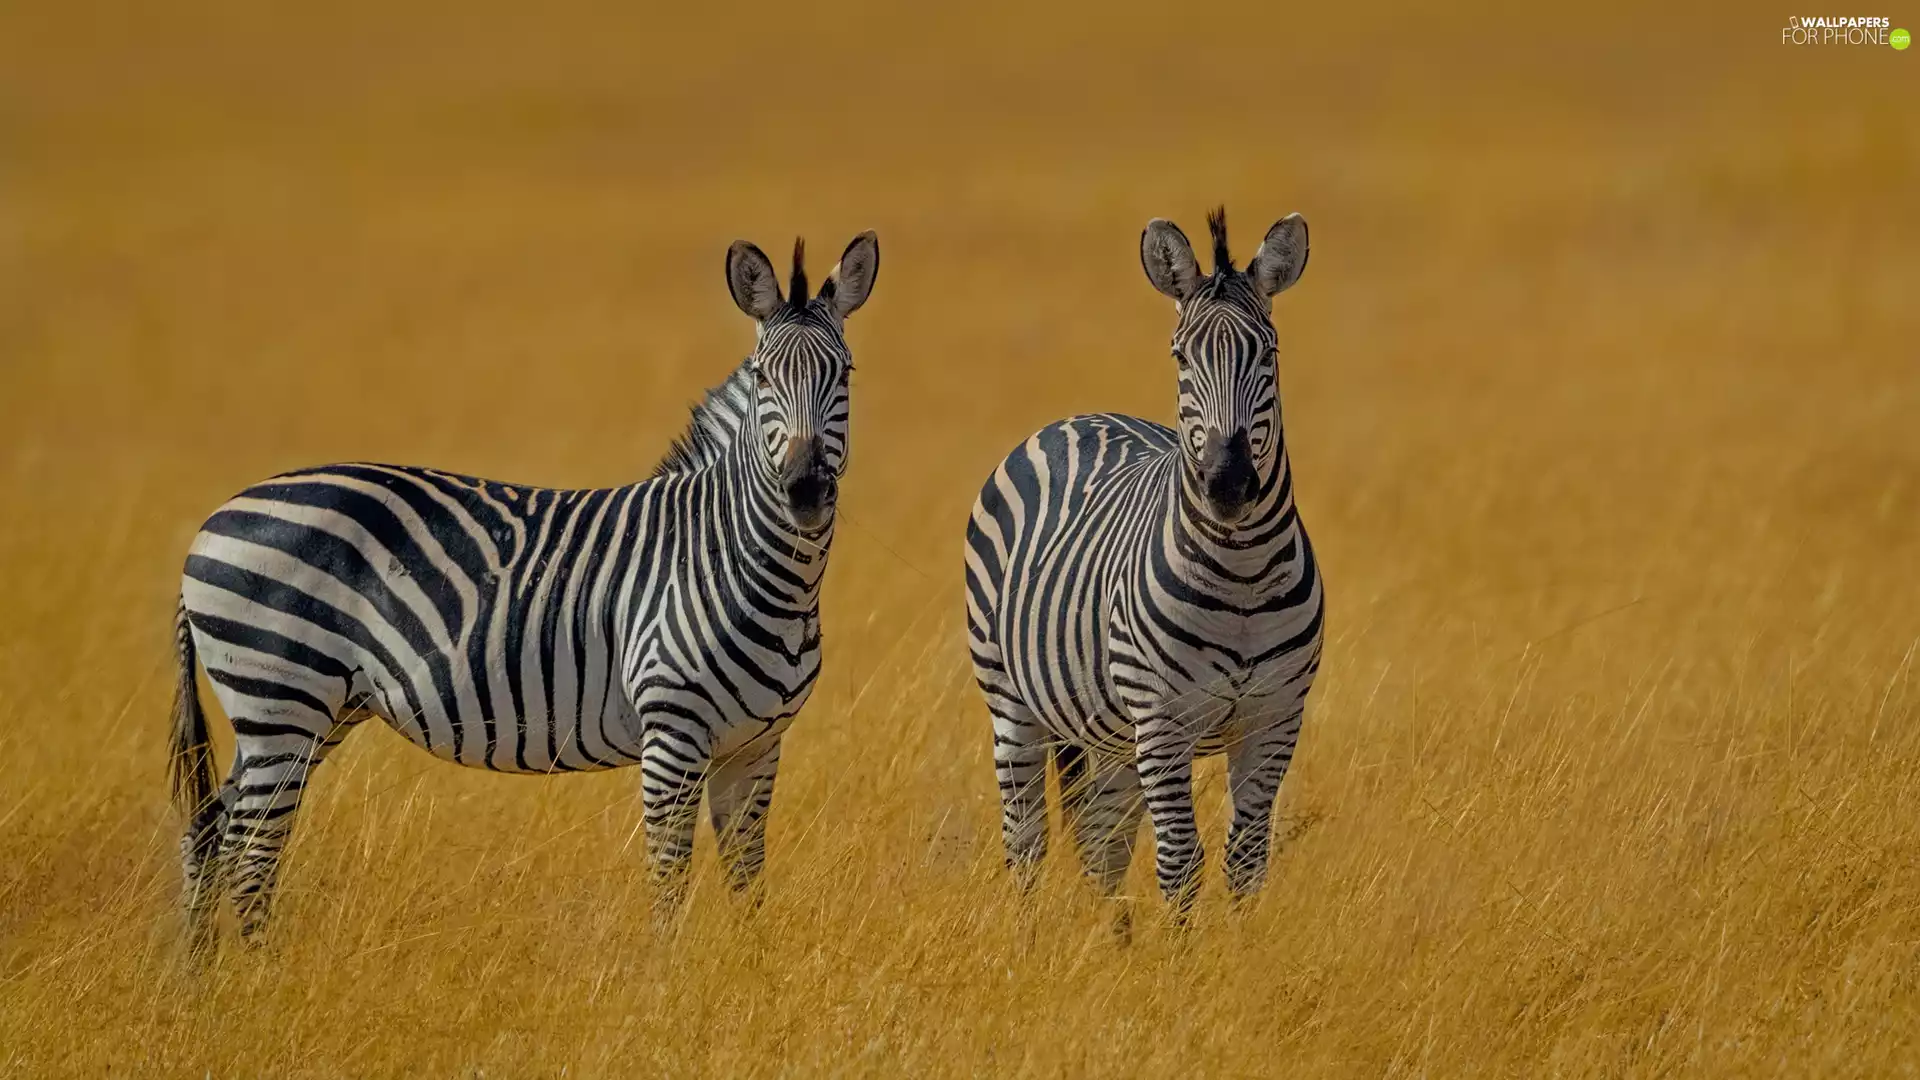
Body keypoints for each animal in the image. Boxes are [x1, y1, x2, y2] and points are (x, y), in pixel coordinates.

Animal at [167, 231, 879, 952]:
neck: (746, 563)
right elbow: (669, 878)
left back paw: (200, 973)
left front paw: (749, 963)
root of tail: (214, 520)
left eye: (845, 374)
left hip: (305, 711)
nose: (805, 492)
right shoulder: (671, 731)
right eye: (762, 377)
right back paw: (259, 970)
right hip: (280, 698)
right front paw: (668, 971)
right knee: (252, 853)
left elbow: (747, 880)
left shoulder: (756, 744)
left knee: (211, 828)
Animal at [964, 208, 1320, 932]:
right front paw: (1181, 960)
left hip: (1110, 733)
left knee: (1102, 842)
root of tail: (1077, 417)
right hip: (1011, 702)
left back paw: (1111, 942)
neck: (1242, 576)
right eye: (1180, 357)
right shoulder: (1162, 721)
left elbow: (1246, 860)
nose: (1227, 483)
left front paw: (1241, 956)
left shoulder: (1275, 719)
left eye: (1269, 354)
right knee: (1027, 841)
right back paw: (1028, 942)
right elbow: (1180, 863)